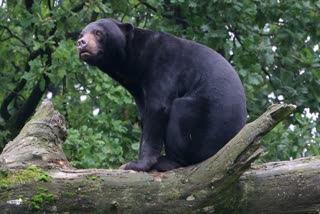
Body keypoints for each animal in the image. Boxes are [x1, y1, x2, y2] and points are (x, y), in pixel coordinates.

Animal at [77, 18, 248, 172]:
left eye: (98, 32)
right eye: (81, 34)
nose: (81, 43)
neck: (133, 62)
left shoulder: (163, 65)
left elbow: (157, 109)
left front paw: (136, 164)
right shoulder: (138, 88)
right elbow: (144, 116)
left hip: (205, 124)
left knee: (180, 111)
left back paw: (167, 162)